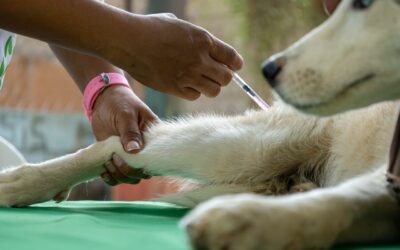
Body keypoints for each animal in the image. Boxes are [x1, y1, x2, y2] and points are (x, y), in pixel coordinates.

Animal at [0, 0, 400, 249]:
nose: (271, 69)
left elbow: (341, 205)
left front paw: (255, 222)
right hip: (248, 146)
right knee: (124, 143)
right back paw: (23, 182)